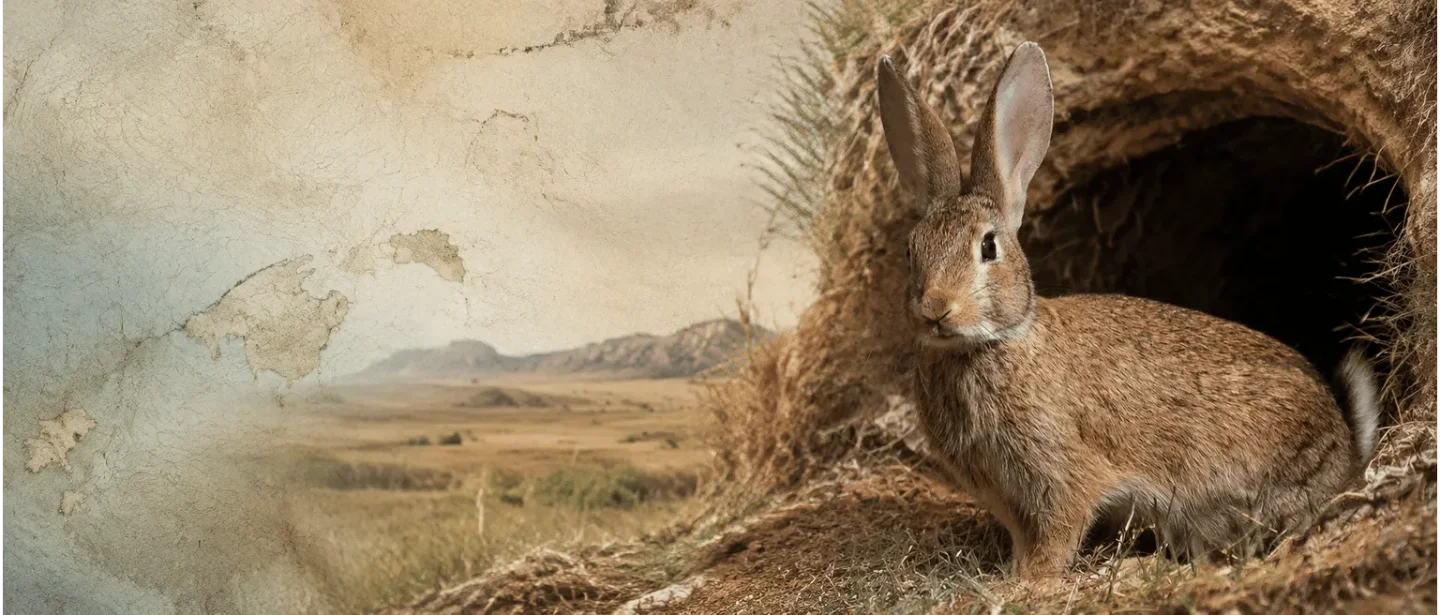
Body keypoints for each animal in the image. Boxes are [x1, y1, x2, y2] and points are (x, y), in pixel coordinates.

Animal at [875, 42, 1381, 579]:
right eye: (911, 250)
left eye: (988, 248)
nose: (936, 309)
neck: (992, 343)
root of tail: (1344, 450)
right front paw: (1012, 575)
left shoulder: (1061, 476)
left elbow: (1057, 535)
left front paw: (1028, 583)